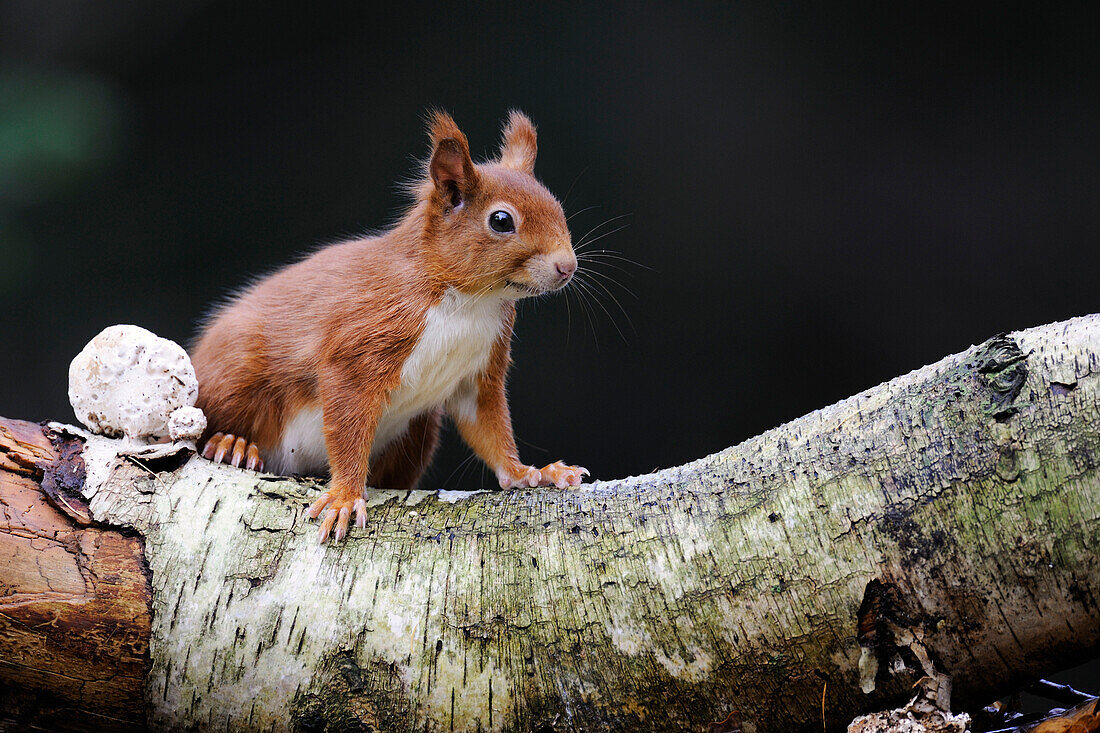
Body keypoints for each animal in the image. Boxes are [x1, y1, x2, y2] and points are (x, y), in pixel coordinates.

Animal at [190, 111, 589, 539]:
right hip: (235, 372)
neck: (468, 302)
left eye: (556, 204)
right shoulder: (362, 343)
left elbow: (489, 427)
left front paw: (532, 473)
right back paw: (232, 443)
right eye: (501, 221)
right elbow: (347, 426)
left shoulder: (481, 367)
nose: (567, 267)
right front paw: (345, 497)